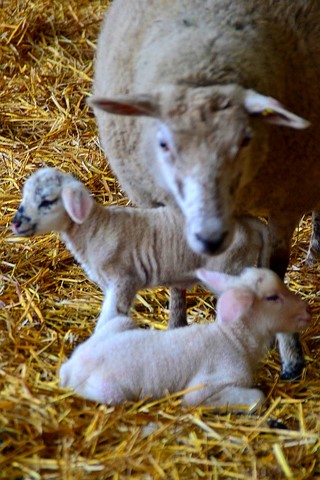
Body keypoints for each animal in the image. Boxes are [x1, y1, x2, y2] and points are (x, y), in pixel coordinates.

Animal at [11, 168, 268, 330]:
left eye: (47, 201)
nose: (15, 223)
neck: (95, 228)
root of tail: (250, 224)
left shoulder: (124, 280)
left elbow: (110, 318)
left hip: (230, 269)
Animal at [58, 266, 312, 408]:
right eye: (272, 297)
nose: (307, 310)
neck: (235, 339)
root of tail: (70, 366)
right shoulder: (207, 385)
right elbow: (256, 398)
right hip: (110, 392)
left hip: (121, 324)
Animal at [89, 0, 320, 378]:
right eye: (163, 143)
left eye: (246, 139)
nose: (210, 237)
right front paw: (176, 327)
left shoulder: (287, 198)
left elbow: (274, 269)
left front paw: (289, 352)